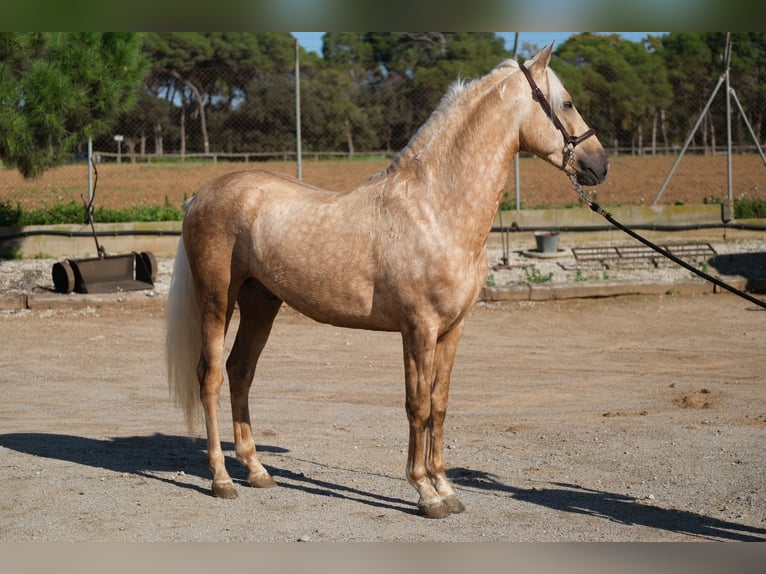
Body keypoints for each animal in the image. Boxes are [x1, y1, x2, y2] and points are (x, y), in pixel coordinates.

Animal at [165, 47, 608, 520]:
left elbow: (440, 404)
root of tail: (201, 196)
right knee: (211, 377)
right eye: (567, 103)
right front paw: (426, 493)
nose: (600, 165)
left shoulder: (453, 330)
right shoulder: (419, 329)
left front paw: (446, 486)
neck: (435, 208)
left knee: (240, 371)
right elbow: (417, 405)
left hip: (260, 302)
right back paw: (221, 479)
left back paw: (257, 470)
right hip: (218, 300)